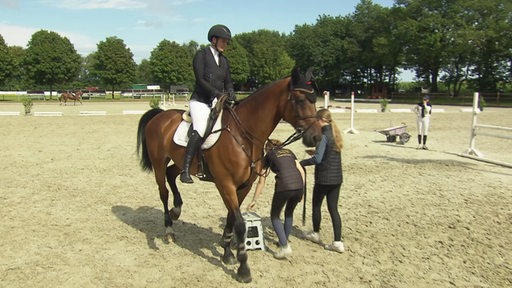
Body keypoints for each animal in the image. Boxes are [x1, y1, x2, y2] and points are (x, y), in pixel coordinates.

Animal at [136, 66, 320, 282]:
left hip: (181, 162)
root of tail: (159, 116)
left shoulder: (244, 186)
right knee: (163, 191)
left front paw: (227, 252)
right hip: (158, 162)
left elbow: (232, 217)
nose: (316, 136)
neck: (244, 135)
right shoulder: (226, 184)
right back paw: (169, 228)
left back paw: (177, 209)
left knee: (172, 174)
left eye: (314, 99)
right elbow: (239, 223)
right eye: (300, 100)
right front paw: (243, 268)